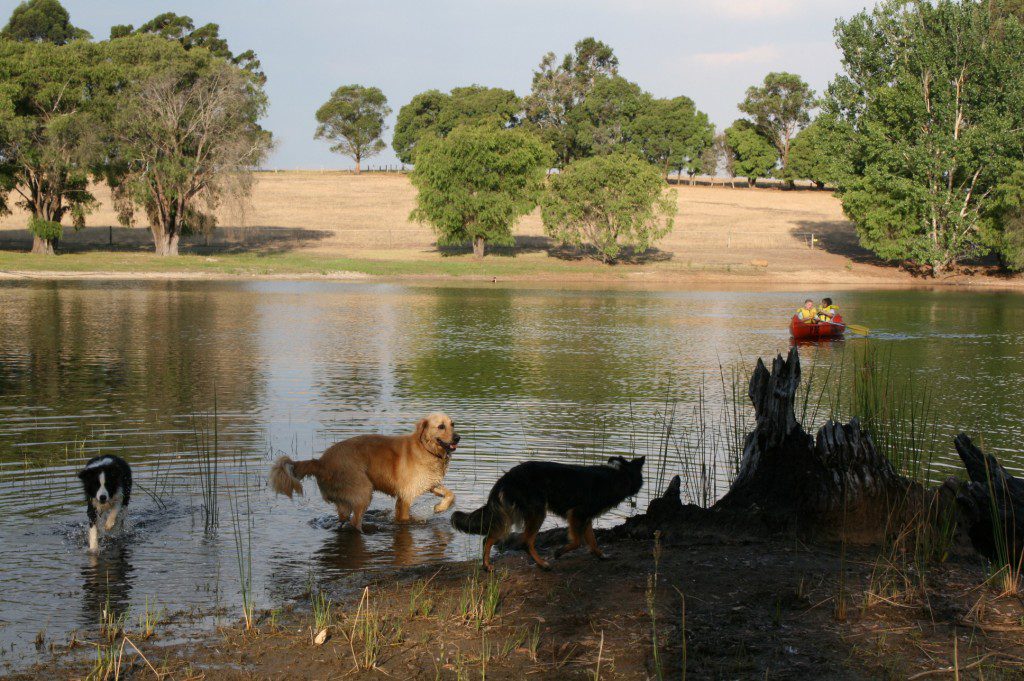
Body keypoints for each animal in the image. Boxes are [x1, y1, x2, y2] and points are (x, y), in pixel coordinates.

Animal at [452, 454, 643, 569]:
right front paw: (559, 552)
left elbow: (593, 541)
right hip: (537, 512)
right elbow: (578, 542)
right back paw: (541, 564)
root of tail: (507, 477)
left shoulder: (585, 518)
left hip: (513, 512)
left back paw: (486, 564)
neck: (618, 476)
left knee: (489, 538)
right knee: (525, 542)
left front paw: (601, 555)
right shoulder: (577, 514)